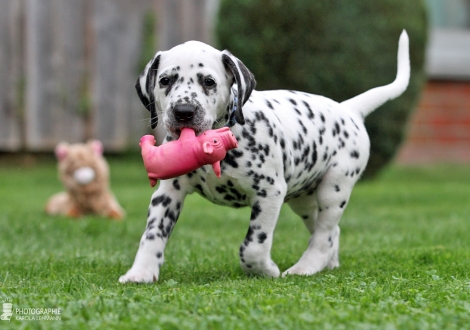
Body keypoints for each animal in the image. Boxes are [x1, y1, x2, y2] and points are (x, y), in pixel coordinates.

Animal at [119, 31, 410, 284]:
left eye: (208, 82)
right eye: (165, 81)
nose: (183, 111)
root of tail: (348, 109)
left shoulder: (269, 192)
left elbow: (253, 245)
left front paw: (265, 270)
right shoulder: (168, 193)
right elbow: (152, 234)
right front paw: (141, 272)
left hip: (334, 189)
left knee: (324, 234)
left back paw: (305, 267)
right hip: (303, 201)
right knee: (328, 232)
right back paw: (328, 264)